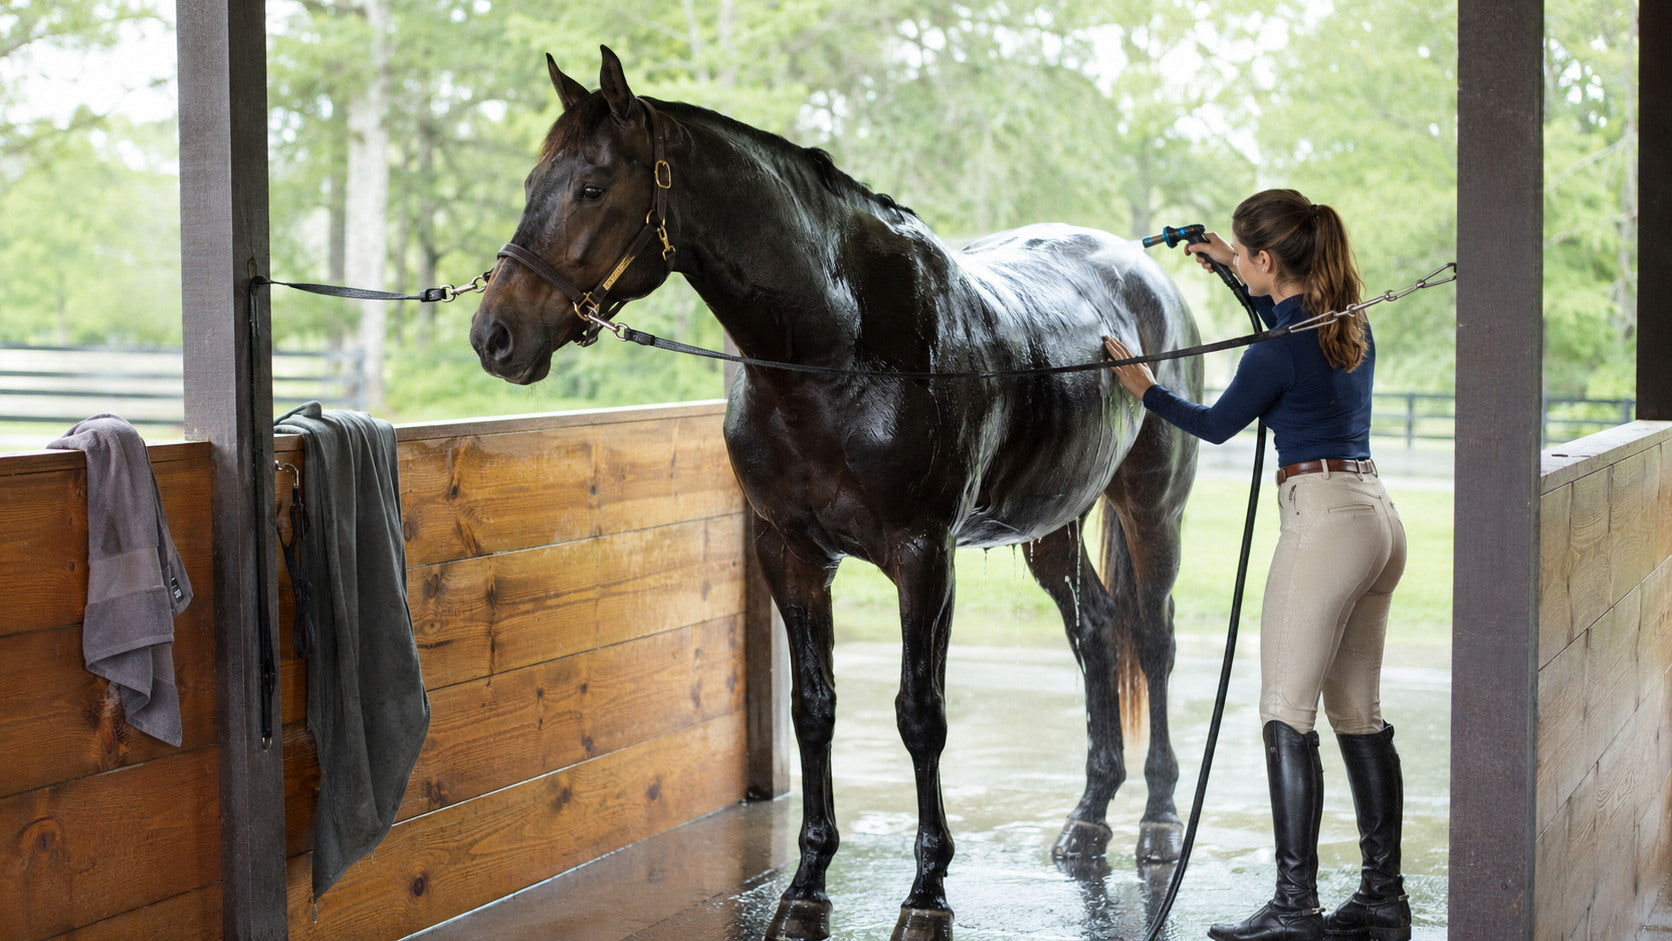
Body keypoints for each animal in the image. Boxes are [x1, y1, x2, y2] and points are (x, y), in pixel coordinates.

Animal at [469, 46, 1203, 941]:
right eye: (534, 181)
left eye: (592, 186)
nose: (495, 335)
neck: (840, 349)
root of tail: (1142, 270)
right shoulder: (790, 551)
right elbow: (812, 707)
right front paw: (806, 885)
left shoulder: (924, 557)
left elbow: (921, 714)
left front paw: (926, 894)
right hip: (1049, 527)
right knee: (1096, 632)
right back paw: (1088, 820)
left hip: (1152, 506)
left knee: (1152, 639)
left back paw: (1159, 823)